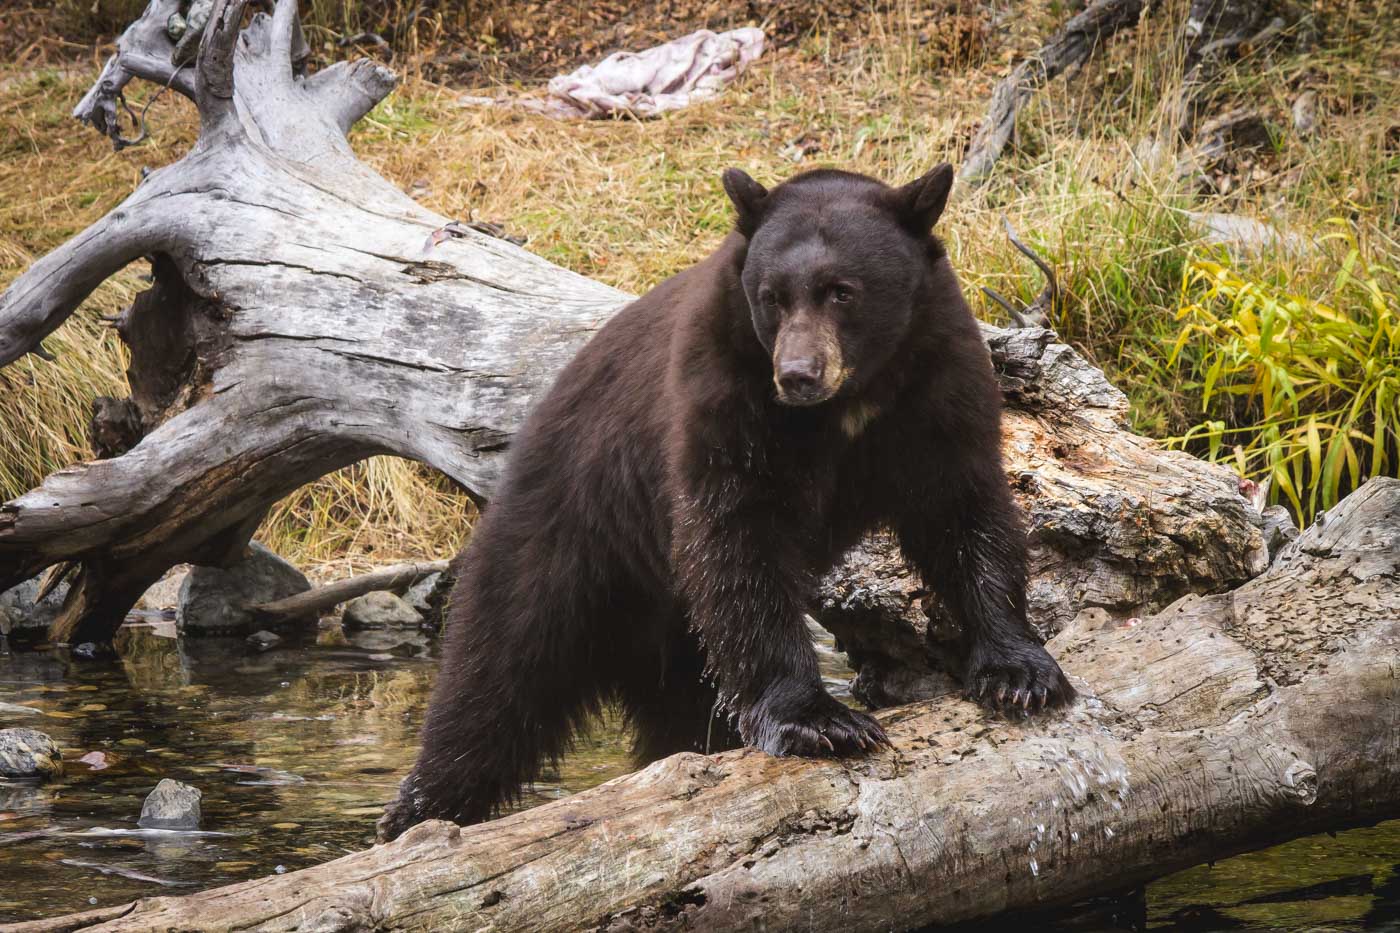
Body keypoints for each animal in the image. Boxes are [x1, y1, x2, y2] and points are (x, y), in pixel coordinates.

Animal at [378, 163, 1075, 840]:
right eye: (772, 296)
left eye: (841, 290)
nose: (797, 375)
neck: (851, 403)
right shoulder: (725, 395)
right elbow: (738, 540)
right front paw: (821, 721)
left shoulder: (940, 383)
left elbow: (965, 512)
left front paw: (1021, 674)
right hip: (566, 536)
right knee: (495, 680)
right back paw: (413, 816)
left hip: (668, 639)